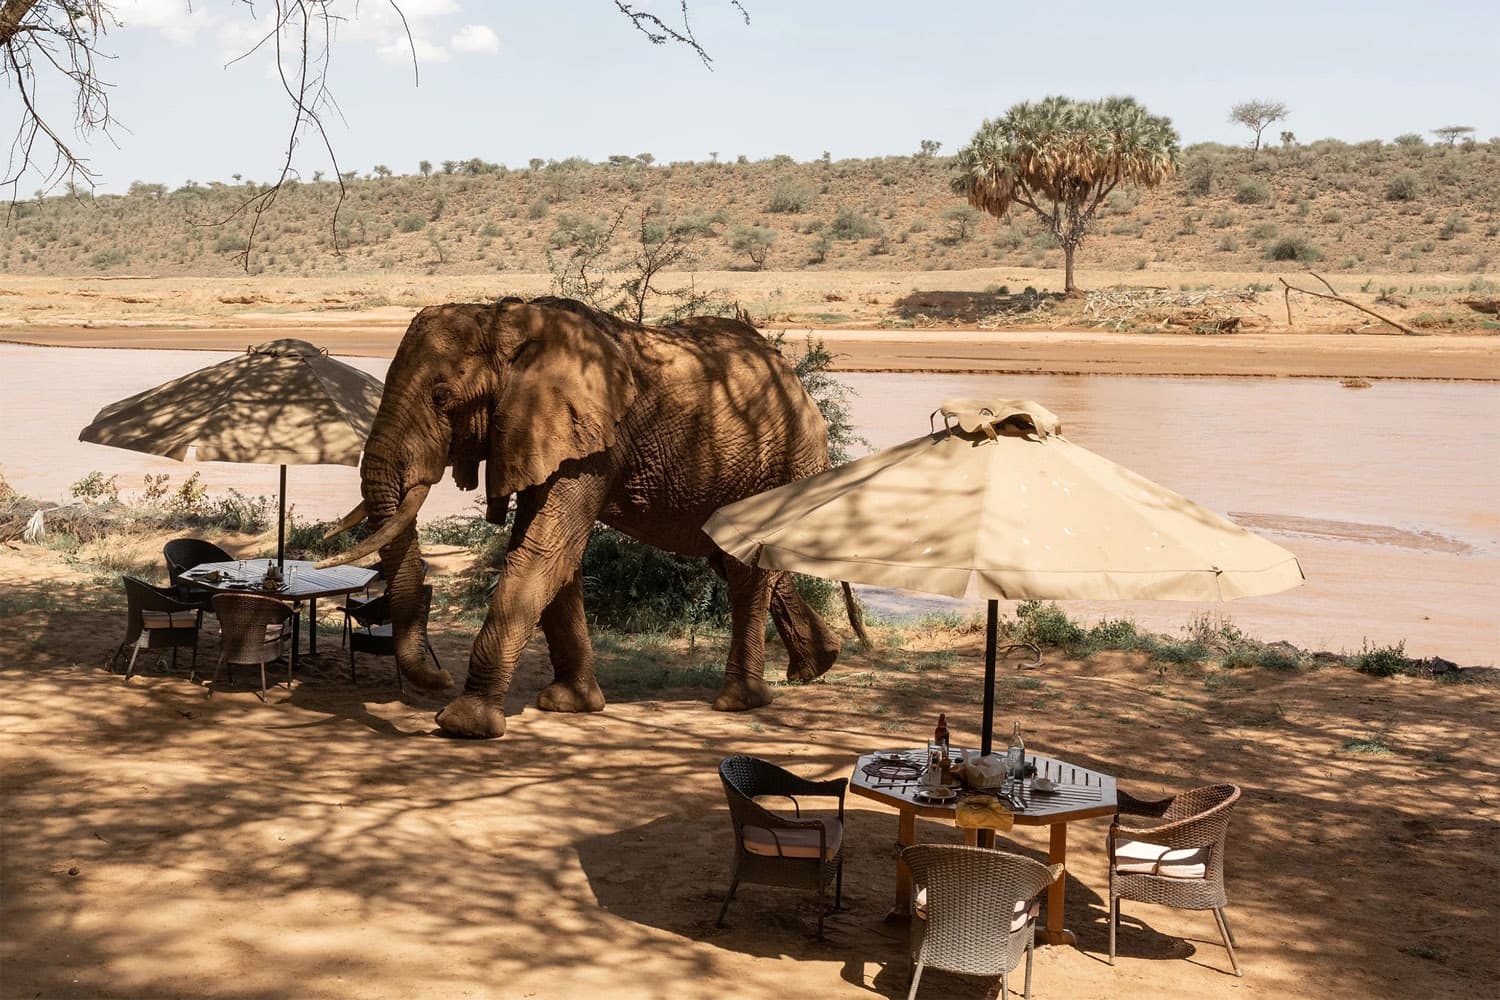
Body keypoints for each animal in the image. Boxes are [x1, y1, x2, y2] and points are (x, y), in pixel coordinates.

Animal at [319, 293, 858, 740]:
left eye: (442, 397)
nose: (439, 677)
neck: (507, 320)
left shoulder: (589, 441)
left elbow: (542, 551)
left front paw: (463, 724)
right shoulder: (544, 434)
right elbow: (558, 559)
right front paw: (570, 705)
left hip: (775, 465)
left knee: (745, 573)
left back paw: (738, 702)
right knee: (736, 564)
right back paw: (816, 665)